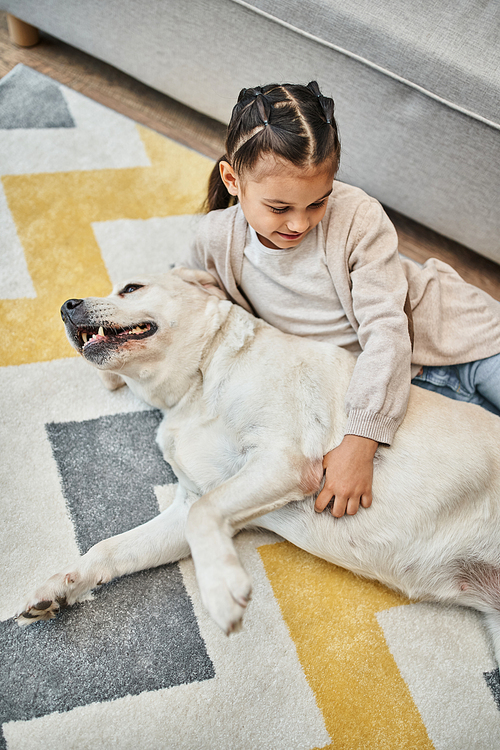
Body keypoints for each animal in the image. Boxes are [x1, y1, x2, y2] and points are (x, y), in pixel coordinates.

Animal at [18, 268, 500, 668]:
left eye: (131, 288)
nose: (66, 306)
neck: (197, 383)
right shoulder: (189, 505)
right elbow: (111, 549)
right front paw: (60, 587)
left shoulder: (281, 461)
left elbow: (204, 514)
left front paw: (221, 593)